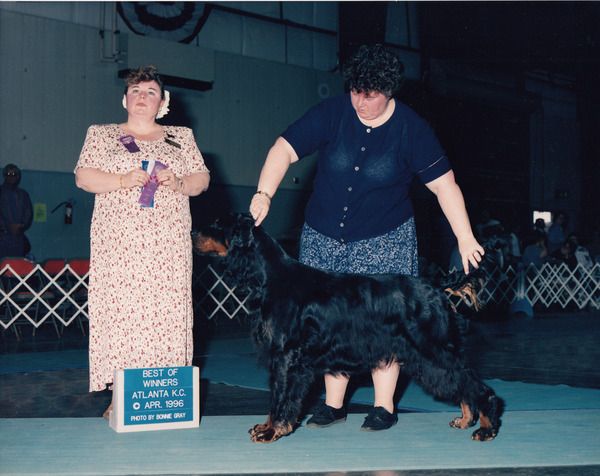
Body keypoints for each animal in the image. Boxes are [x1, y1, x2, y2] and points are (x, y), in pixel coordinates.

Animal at [193, 213, 504, 443]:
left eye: (218, 224)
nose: (193, 232)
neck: (271, 277)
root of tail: (435, 285)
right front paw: (268, 426)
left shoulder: (285, 356)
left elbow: (279, 397)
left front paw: (271, 431)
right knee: (461, 380)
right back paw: (465, 418)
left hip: (432, 349)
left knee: (472, 382)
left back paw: (486, 428)